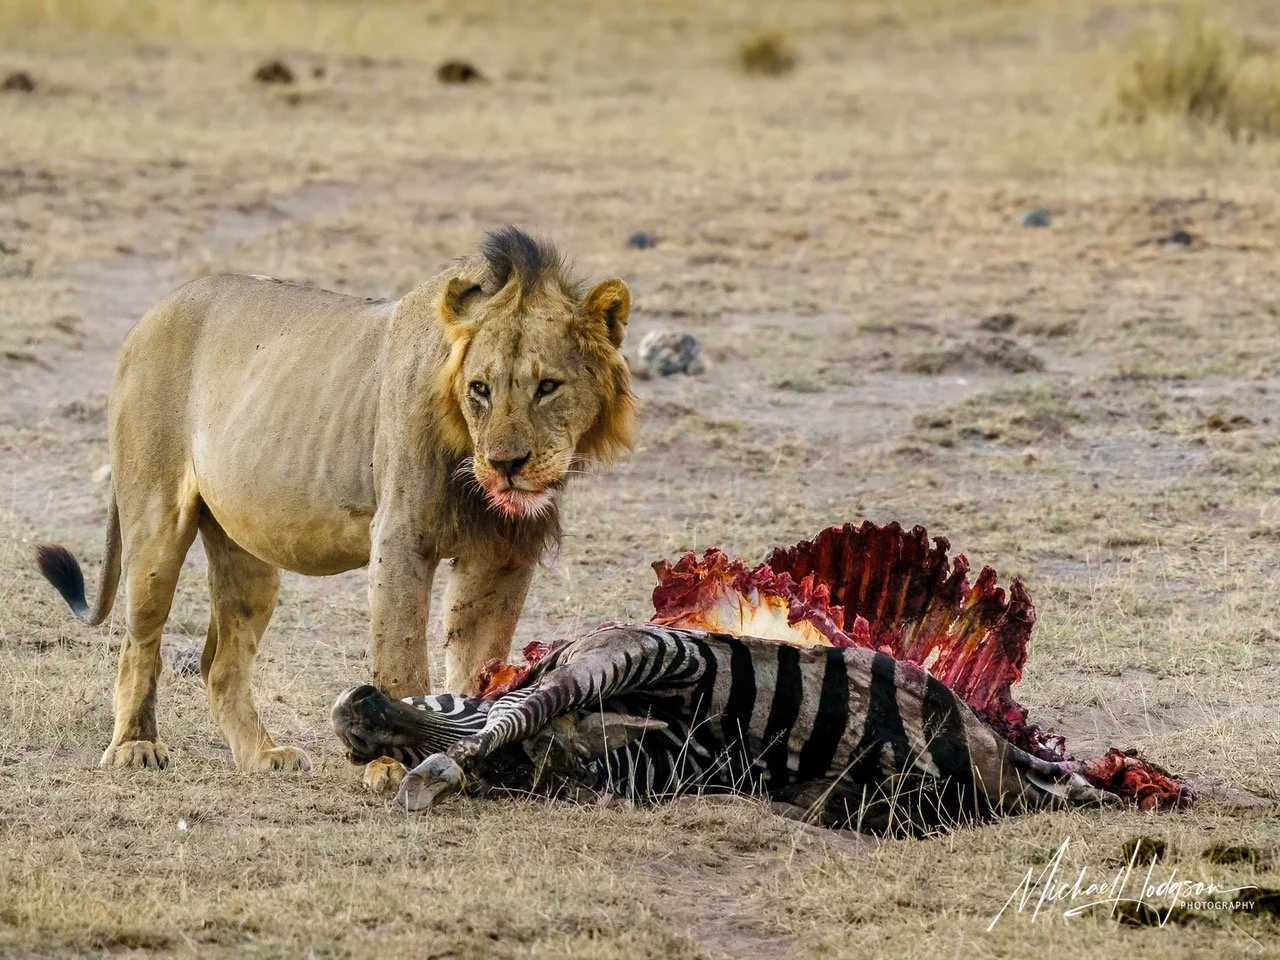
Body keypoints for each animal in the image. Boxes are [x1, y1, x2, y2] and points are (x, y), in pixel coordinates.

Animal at [36, 226, 636, 773]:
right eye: (480, 389)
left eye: (548, 387)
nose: (506, 464)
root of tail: (149, 314)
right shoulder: (400, 536)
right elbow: (400, 656)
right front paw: (395, 763)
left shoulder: (503, 555)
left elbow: (476, 660)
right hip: (155, 522)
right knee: (139, 644)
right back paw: (135, 747)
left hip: (246, 553)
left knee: (222, 664)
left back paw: (264, 756)